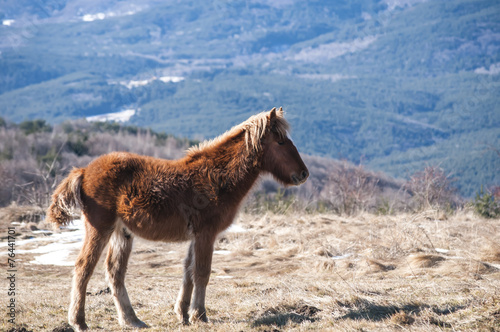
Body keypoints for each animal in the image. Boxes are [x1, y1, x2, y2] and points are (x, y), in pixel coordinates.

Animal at [46, 107, 308, 330]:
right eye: (281, 141)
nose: (303, 174)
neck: (217, 178)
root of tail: (84, 171)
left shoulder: (196, 236)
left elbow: (188, 271)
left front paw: (183, 314)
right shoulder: (206, 234)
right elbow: (202, 272)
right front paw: (200, 315)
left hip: (122, 233)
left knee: (114, 272)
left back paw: (132, 320)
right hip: (100, 228)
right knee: (84, 267)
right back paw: (79, 321)